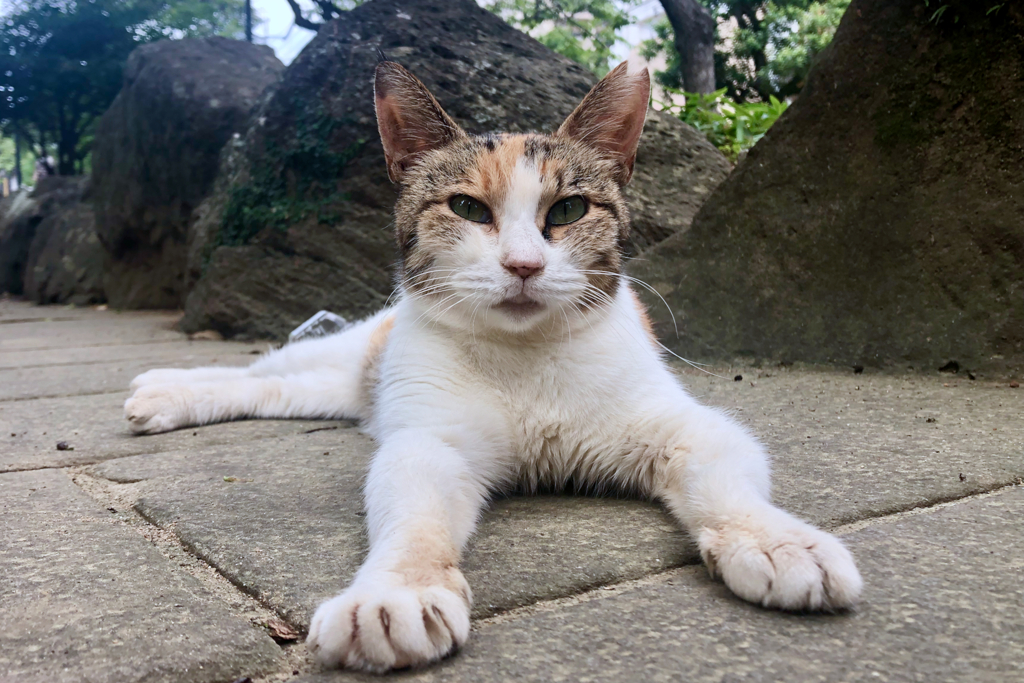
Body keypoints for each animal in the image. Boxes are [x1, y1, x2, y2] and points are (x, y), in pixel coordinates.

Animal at [128, 58, 864, 671]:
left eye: (569, 209)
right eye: (465, 207)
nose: (523, 265)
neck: (525, 359)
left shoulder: (684, 423)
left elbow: (726, 471)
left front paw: (778, 541)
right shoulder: (430, 441)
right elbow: (414, 515)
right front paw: (398, 592)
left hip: (342, 387)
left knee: (279, 388)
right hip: (358, 352)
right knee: (260, 371)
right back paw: (163, 388)